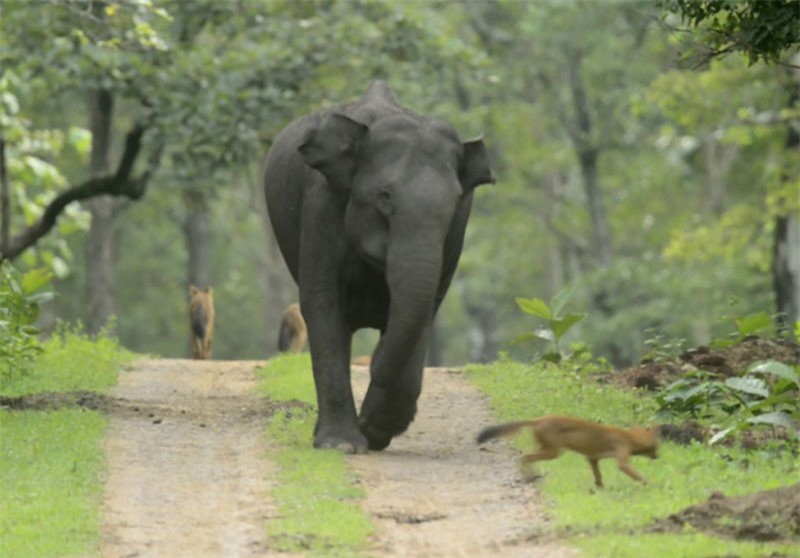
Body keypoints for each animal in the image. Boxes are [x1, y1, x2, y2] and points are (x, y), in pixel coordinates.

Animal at [262, 82, 494, 456]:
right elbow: (322, 301)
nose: (371, 360)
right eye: (385, 196)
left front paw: (375, 430)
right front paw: (342, 445)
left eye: (453, 203)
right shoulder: (322, 203)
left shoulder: (458, 230)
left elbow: (426, 307)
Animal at [478, 416, 660, 490]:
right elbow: (632, 472)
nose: (658, 456)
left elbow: (598, 475)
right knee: (524, 456)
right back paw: (529, 476)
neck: (629, 437)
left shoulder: (592, 457)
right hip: (554, 451)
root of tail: (538, 419)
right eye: (656, 447)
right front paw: (649, 483)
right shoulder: (621, 453)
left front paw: (600, 488)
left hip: (548, 449)